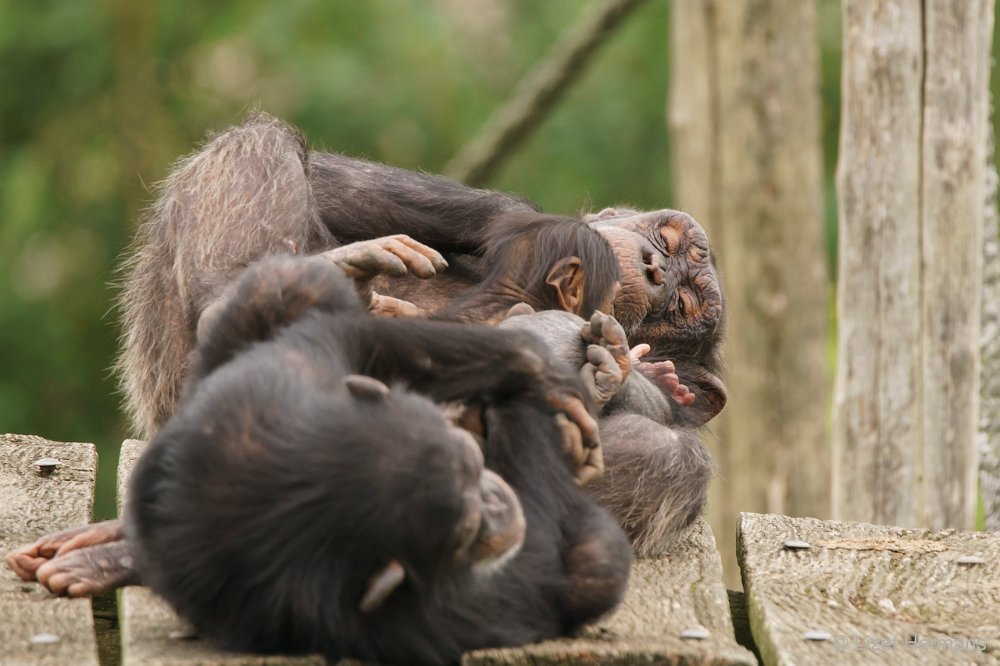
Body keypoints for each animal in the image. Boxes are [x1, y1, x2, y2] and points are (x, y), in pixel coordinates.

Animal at [13, 255, 632, 664]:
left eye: (470, 466)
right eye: (466, 530)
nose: (496, 503)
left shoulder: (306, 359)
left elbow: (367, 340)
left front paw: (541, 373)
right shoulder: (428, 615)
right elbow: (562, 563)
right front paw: (549, 381)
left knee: (287, 283)